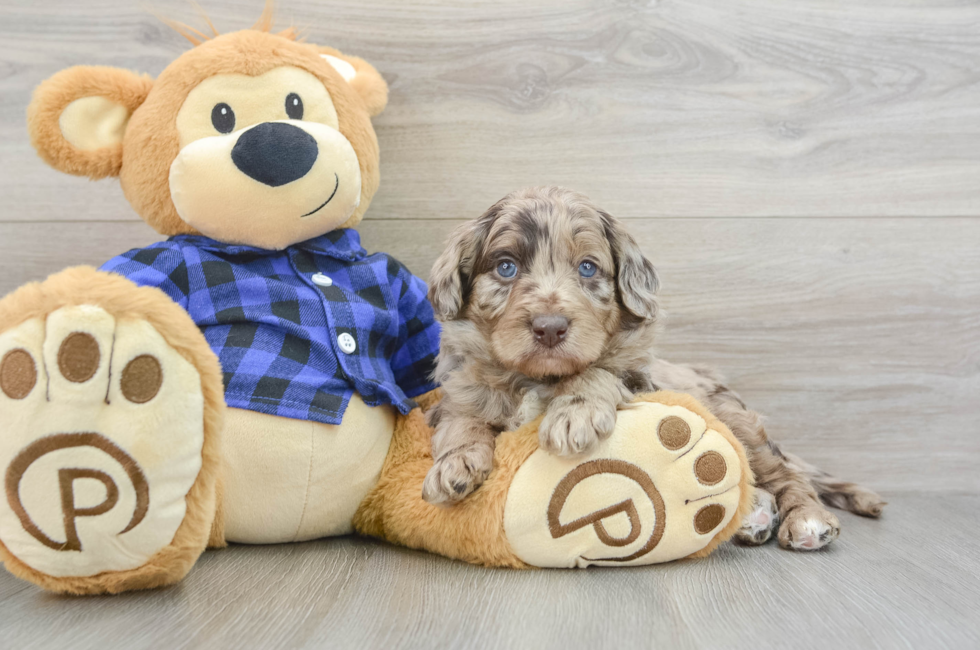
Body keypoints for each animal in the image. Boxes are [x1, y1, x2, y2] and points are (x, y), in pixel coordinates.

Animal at [424, 186, 884, 548]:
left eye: (587, 268)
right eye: (506, 266)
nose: (550, 327)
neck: (537, 377)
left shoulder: (640, 384)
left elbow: (598, 371)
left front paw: (573, 414)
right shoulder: (457, 393)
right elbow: (462, 419)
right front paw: (454, 464)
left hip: (738, 419)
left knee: (782, 472)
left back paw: (807, 519)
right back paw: (754, 516)